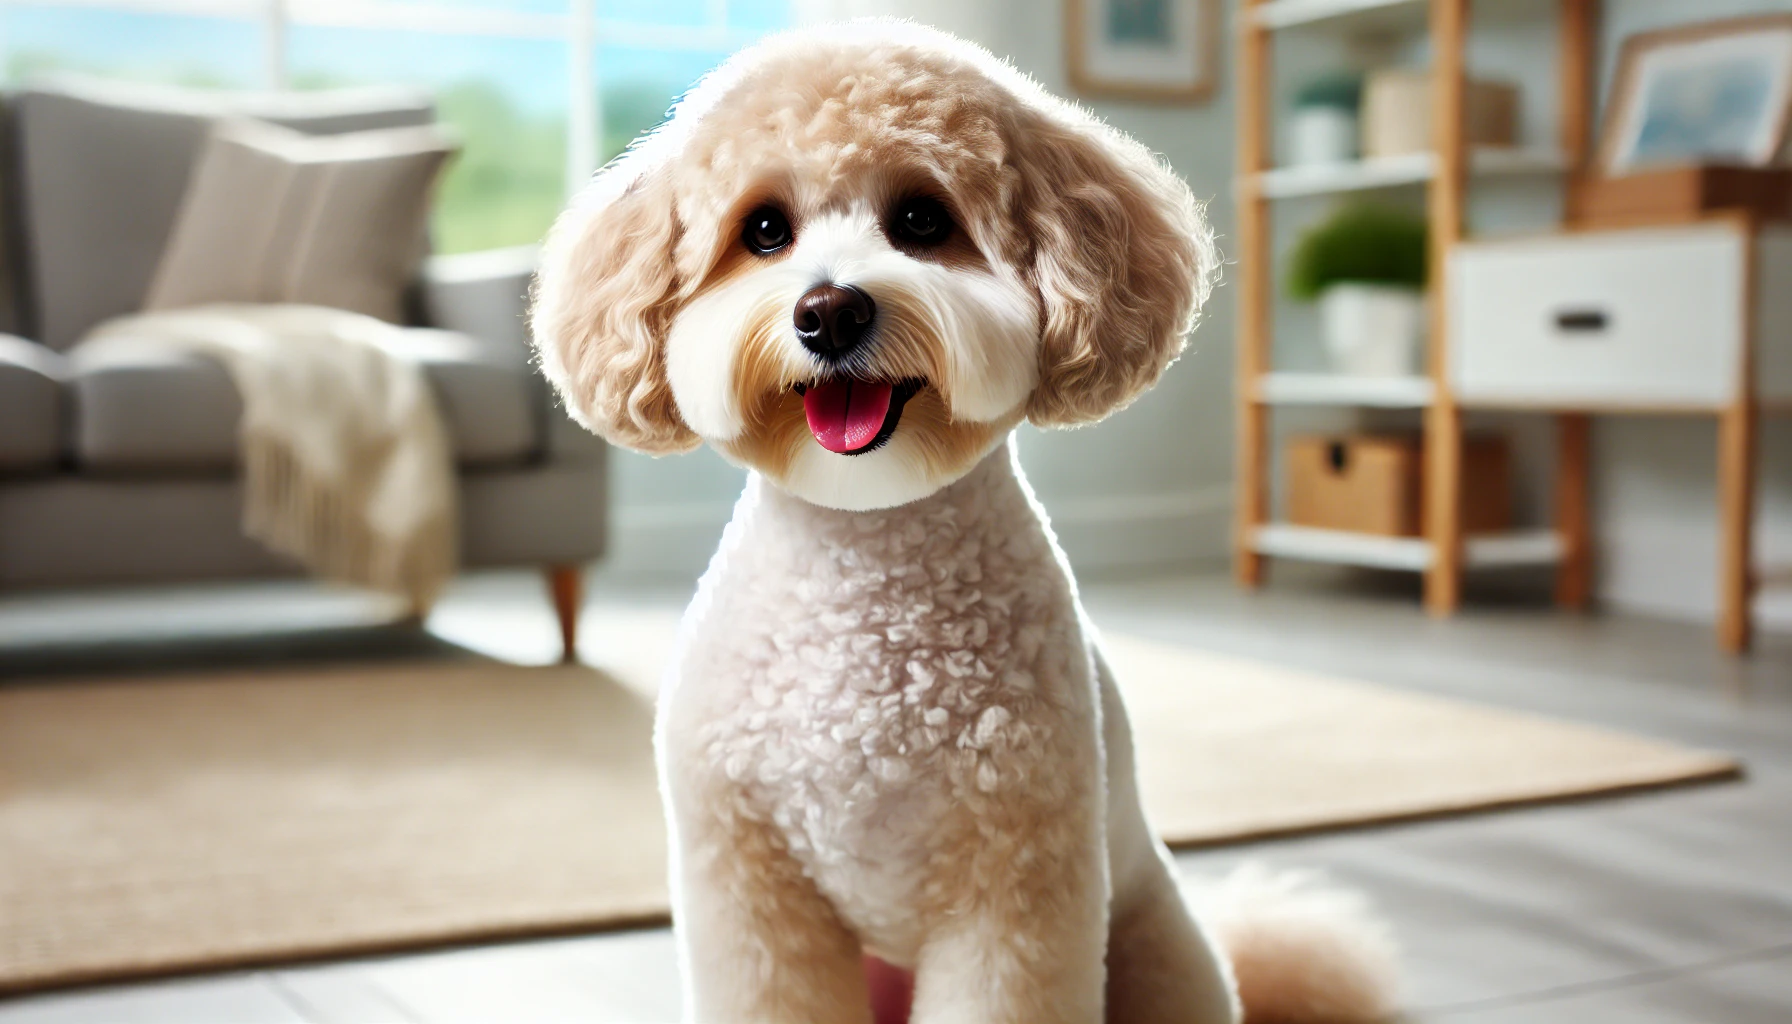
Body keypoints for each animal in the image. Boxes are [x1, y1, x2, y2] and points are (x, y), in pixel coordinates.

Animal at [530, 18, 1397, 1024]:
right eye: (764, 230)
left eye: (921, 220)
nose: (830, 311)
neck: (866, 556)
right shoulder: (748, 884)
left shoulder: (1014, 879)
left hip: (1158, 948)